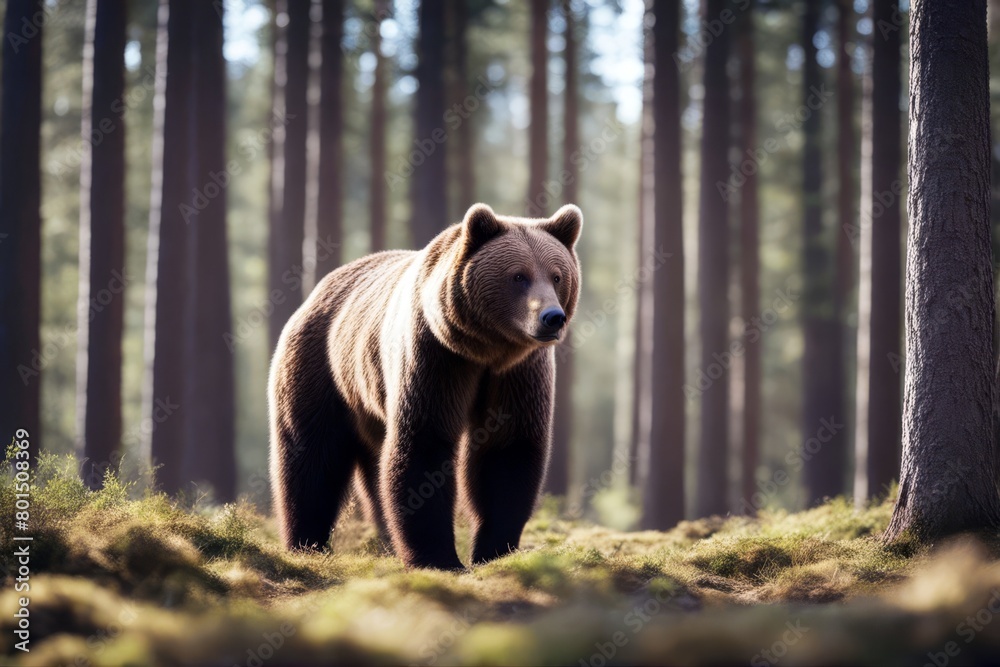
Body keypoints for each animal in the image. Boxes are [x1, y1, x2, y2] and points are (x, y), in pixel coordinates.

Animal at [268, 202, 583, 569]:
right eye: (519, 276)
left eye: (557, 275)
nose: (552, 317)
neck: (484, 349)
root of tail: (317, 292)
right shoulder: (435, 358)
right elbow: (425, 443)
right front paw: (439, 558)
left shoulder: (517, 374)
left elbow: (508, 450)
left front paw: (493, 550)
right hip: (323, 368)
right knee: (311, 456)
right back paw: (306, 543)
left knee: (374, 467)